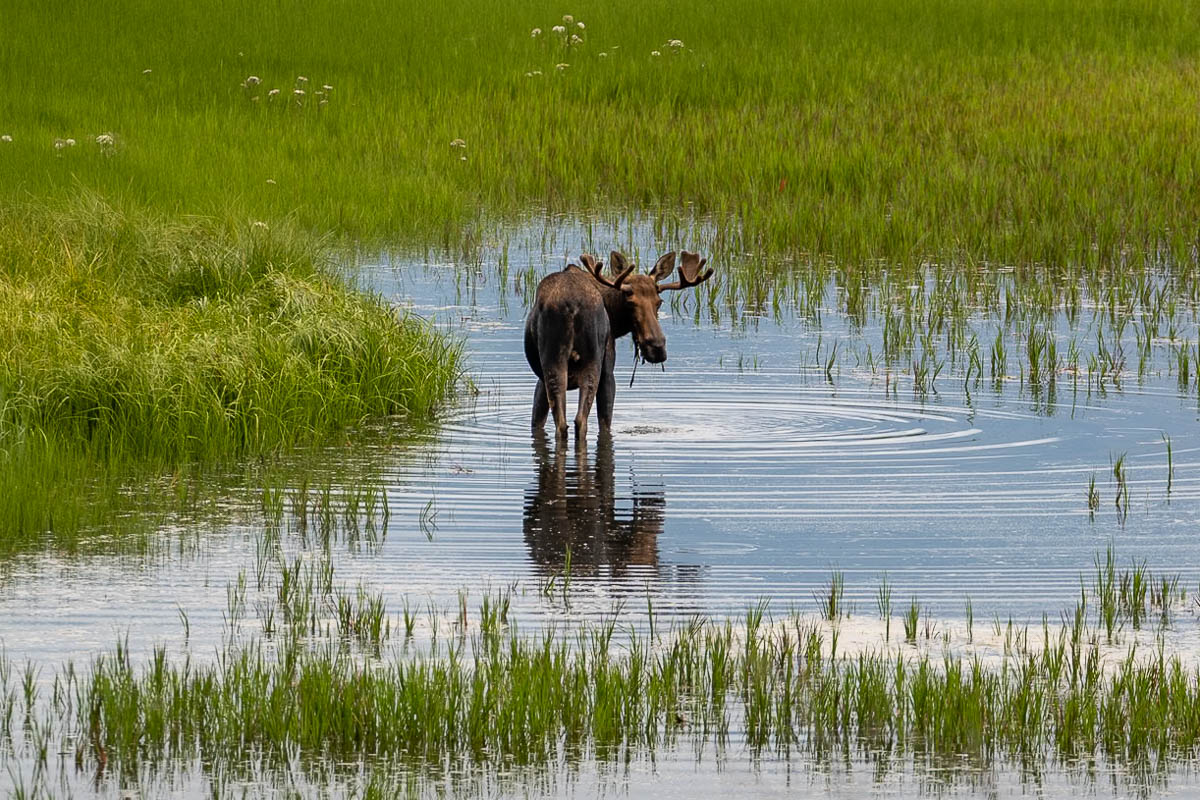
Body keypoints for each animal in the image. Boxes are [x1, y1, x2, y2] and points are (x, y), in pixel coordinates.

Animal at [523, 249, 714, 441]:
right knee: (581, 420)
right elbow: (605, 421)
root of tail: (572, 306)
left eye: (659, 302)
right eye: (630, 302)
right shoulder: (608, 366)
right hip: (590, 360)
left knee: (564, 423)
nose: (657, 347)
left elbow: (536, 421)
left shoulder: (540, 378)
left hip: (554, 363)